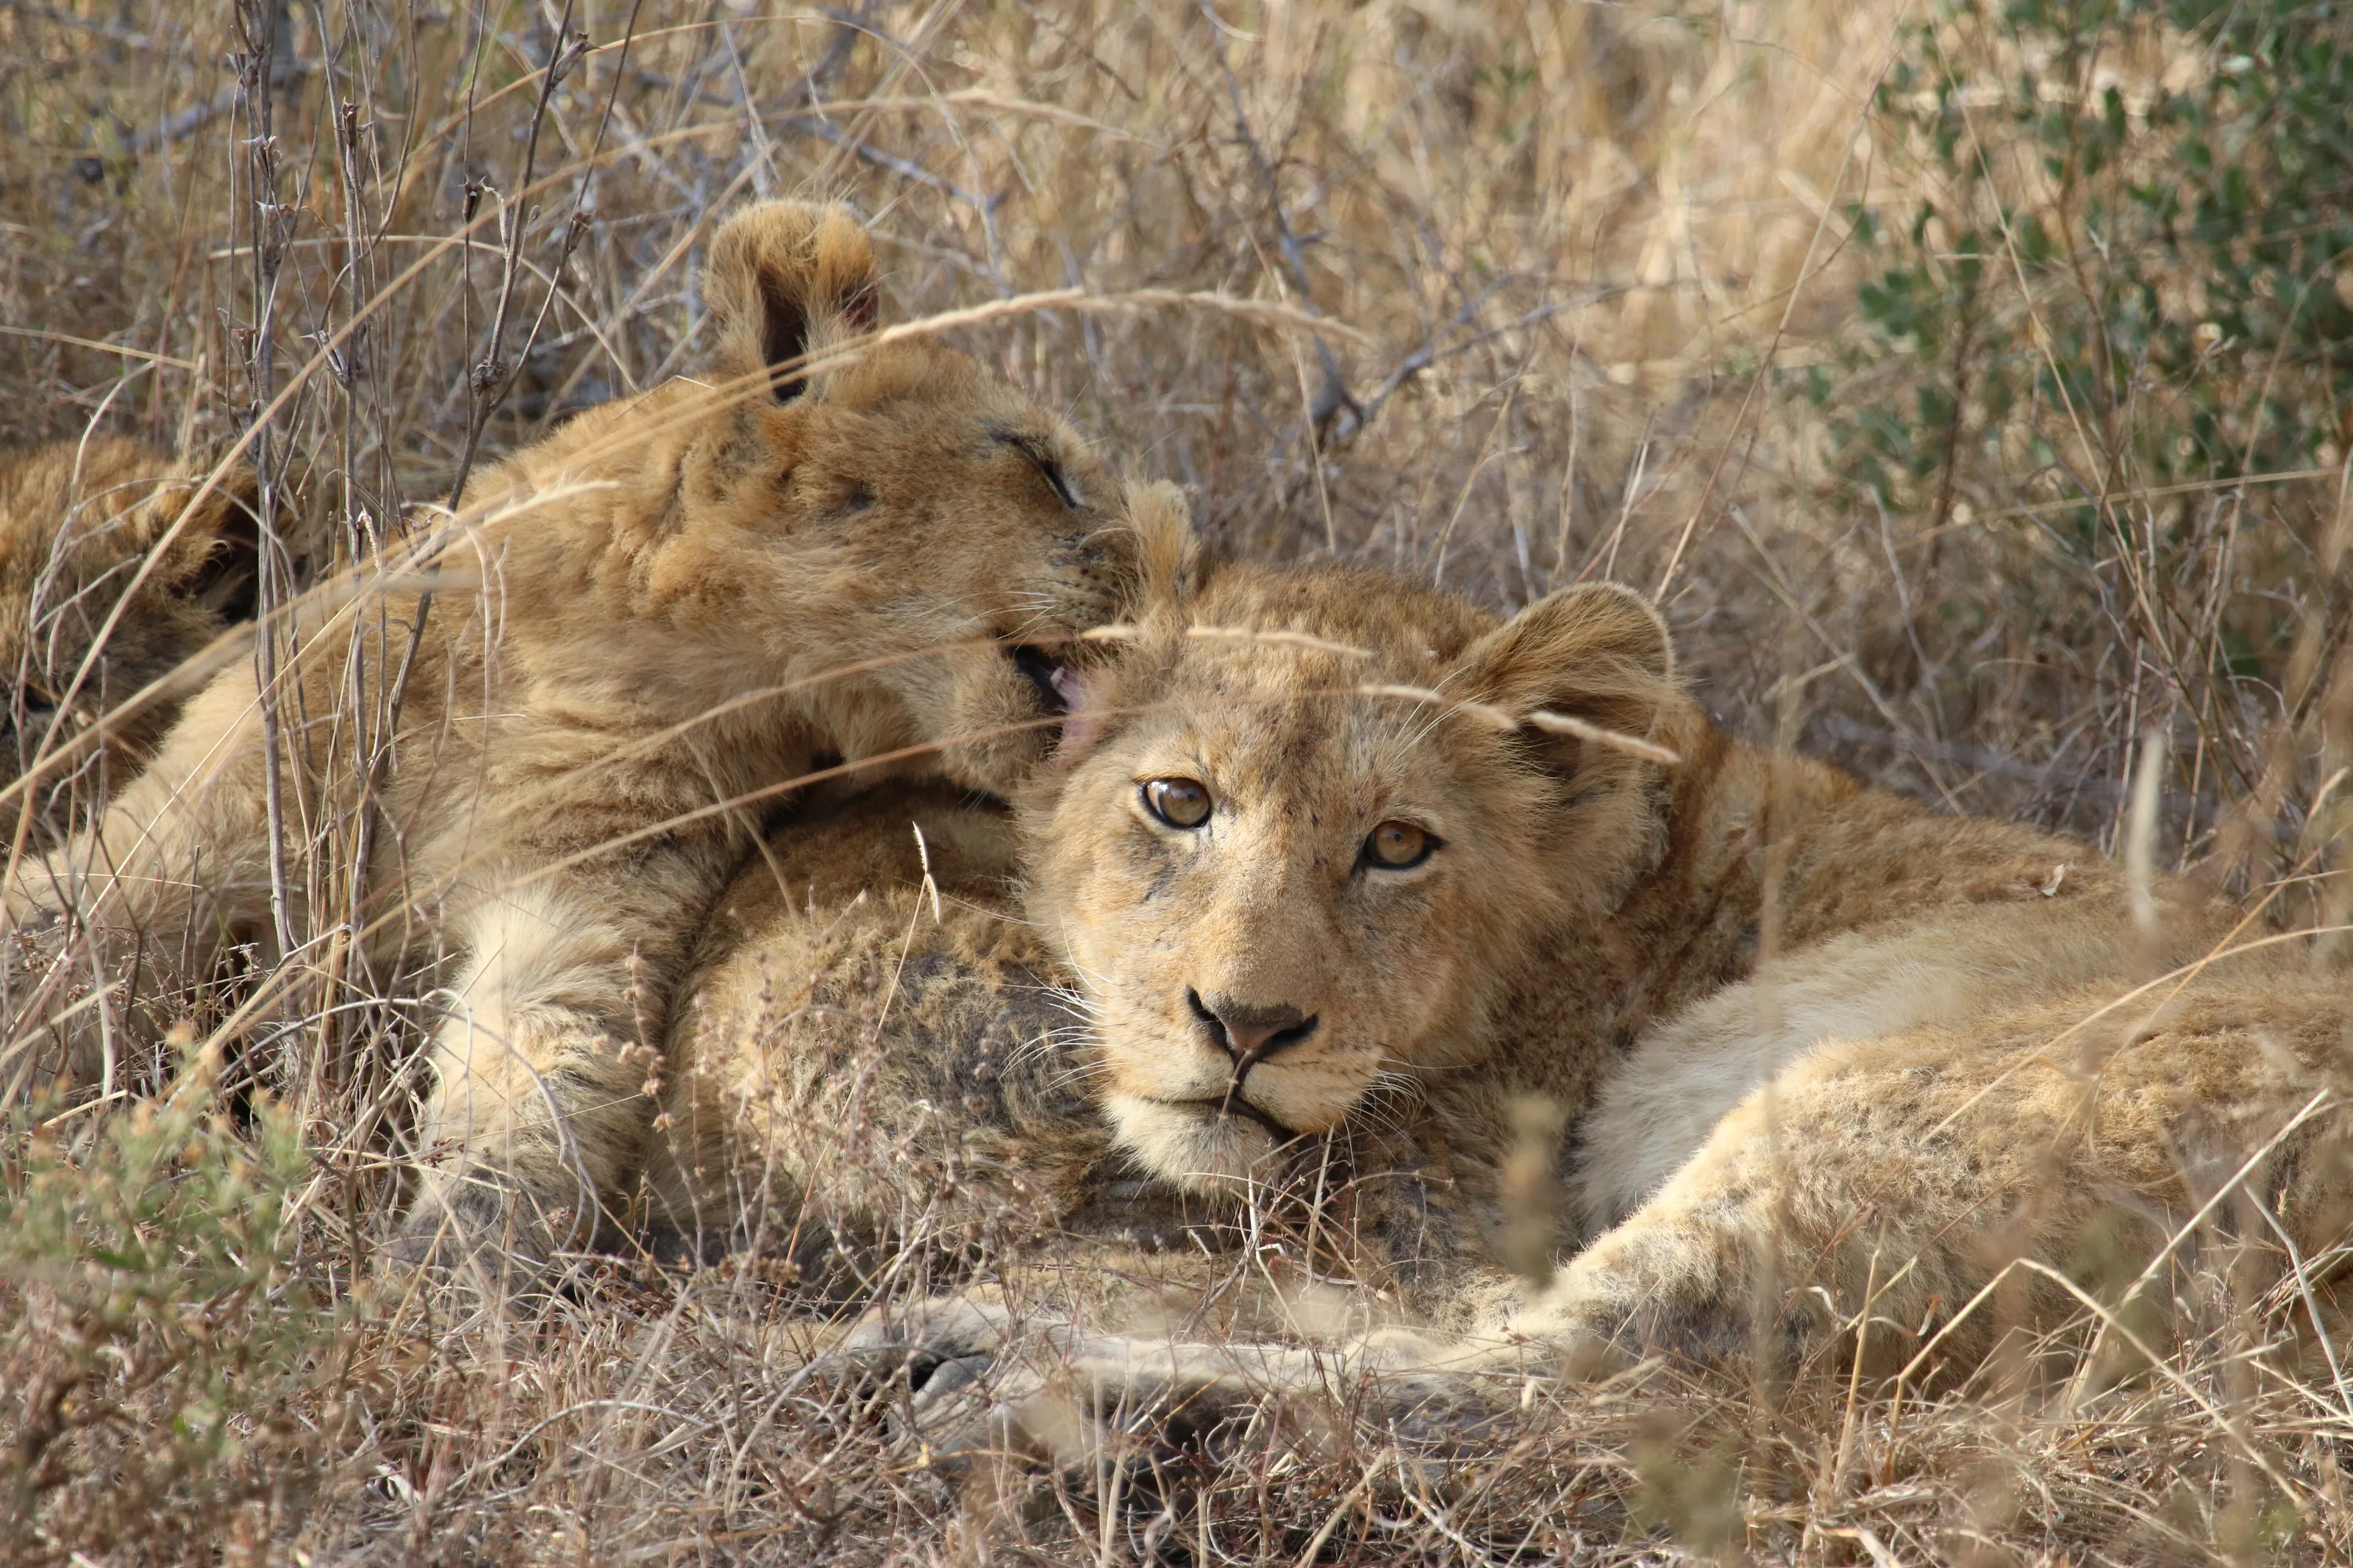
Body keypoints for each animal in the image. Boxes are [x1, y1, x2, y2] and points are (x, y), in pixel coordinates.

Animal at [7, 200, 1168, 1278]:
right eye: (1039, 463)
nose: (1176, 585)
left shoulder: (587, 902)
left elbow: (528, 1091)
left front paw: (441, 1290)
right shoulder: (196, 825)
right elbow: (65, 931)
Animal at [827, 554, 2352, 1453]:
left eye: (1397, 844)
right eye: (1177, 801)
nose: (1246, 1026)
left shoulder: (1443, 1217)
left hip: (1850, 1123)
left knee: (1518, 1373)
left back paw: (982, 1366)